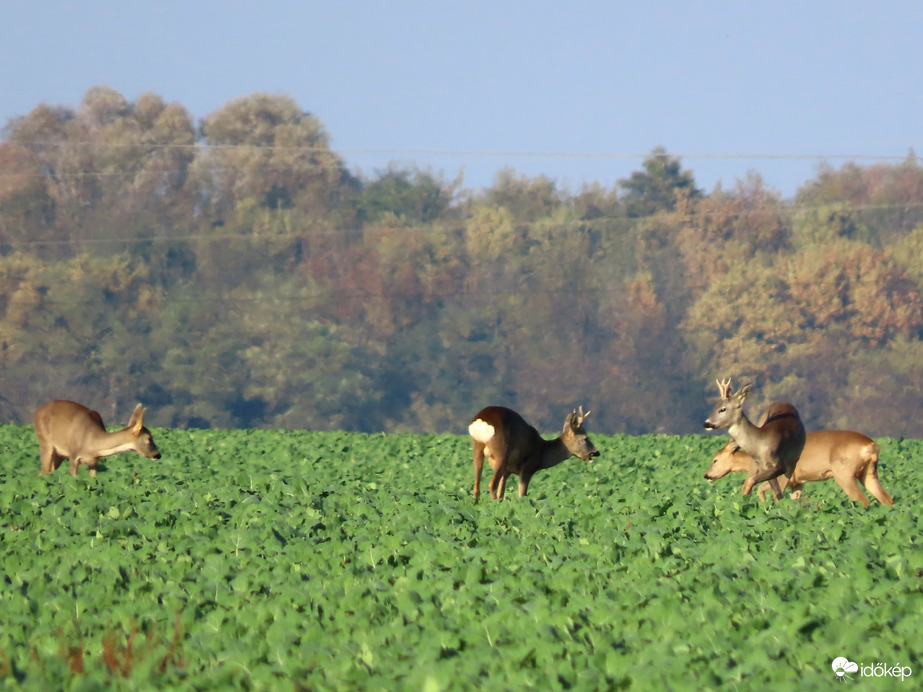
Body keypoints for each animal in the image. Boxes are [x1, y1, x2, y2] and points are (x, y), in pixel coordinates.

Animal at [32, 400, 162, 476]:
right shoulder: (73, 456)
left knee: (48, 470)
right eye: (148, 438)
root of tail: (36, 411)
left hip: (60, 454)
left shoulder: (94, 462)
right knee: (44, 470)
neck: (91, 443)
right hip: (44, 441)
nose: (157, 455)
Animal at [470, 402, 600, 500]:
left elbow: (501, 493)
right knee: (492, 484)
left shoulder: (508, 471)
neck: (542, 452)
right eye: (585, 438)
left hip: (477, 447)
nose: (597, 452)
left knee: (477, 486)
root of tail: (481, 421)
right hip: (501, 451)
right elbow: (522, 494)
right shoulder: (528, 467)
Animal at [704, 430, 892, 506]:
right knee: (886, 499)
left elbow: (766, 492)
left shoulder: (782, 477)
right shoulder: (798, 483)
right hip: (869, 473)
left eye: (715, 460)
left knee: (863, 501)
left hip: (844, 474)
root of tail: (871, 445)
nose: (707, 475)